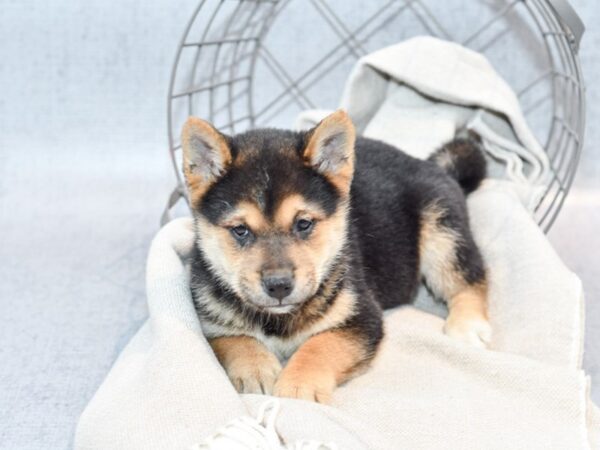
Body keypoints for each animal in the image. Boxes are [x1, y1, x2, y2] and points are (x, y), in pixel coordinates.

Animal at [180, 110, 490, 402]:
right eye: (240, 230)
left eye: (304, 223)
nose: (279, 286)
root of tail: (431, 165)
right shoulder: (209, 323)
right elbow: (236, 339)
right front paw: (254, 368)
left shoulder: (363, 317)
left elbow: (320, 345)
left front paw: (299, 386)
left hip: (442, 231)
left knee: (470, 279)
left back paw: (468, 326)